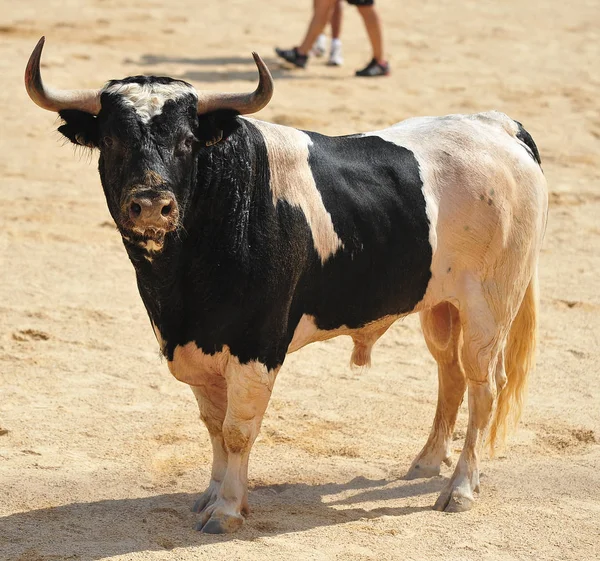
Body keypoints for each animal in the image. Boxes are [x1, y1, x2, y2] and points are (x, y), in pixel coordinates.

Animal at [24, 37, 548, 532]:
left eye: (188, 141)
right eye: (112, 139)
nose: (152, 204)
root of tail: (496, 125)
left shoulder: (257, 347)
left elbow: (237, 430)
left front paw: (228, 510)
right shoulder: (196, 348)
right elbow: (213, 426)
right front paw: (210, 495)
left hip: (489, 310)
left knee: (484, 387)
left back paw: (460, 488)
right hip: (441, 307)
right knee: (450, 375)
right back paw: (425, 463)